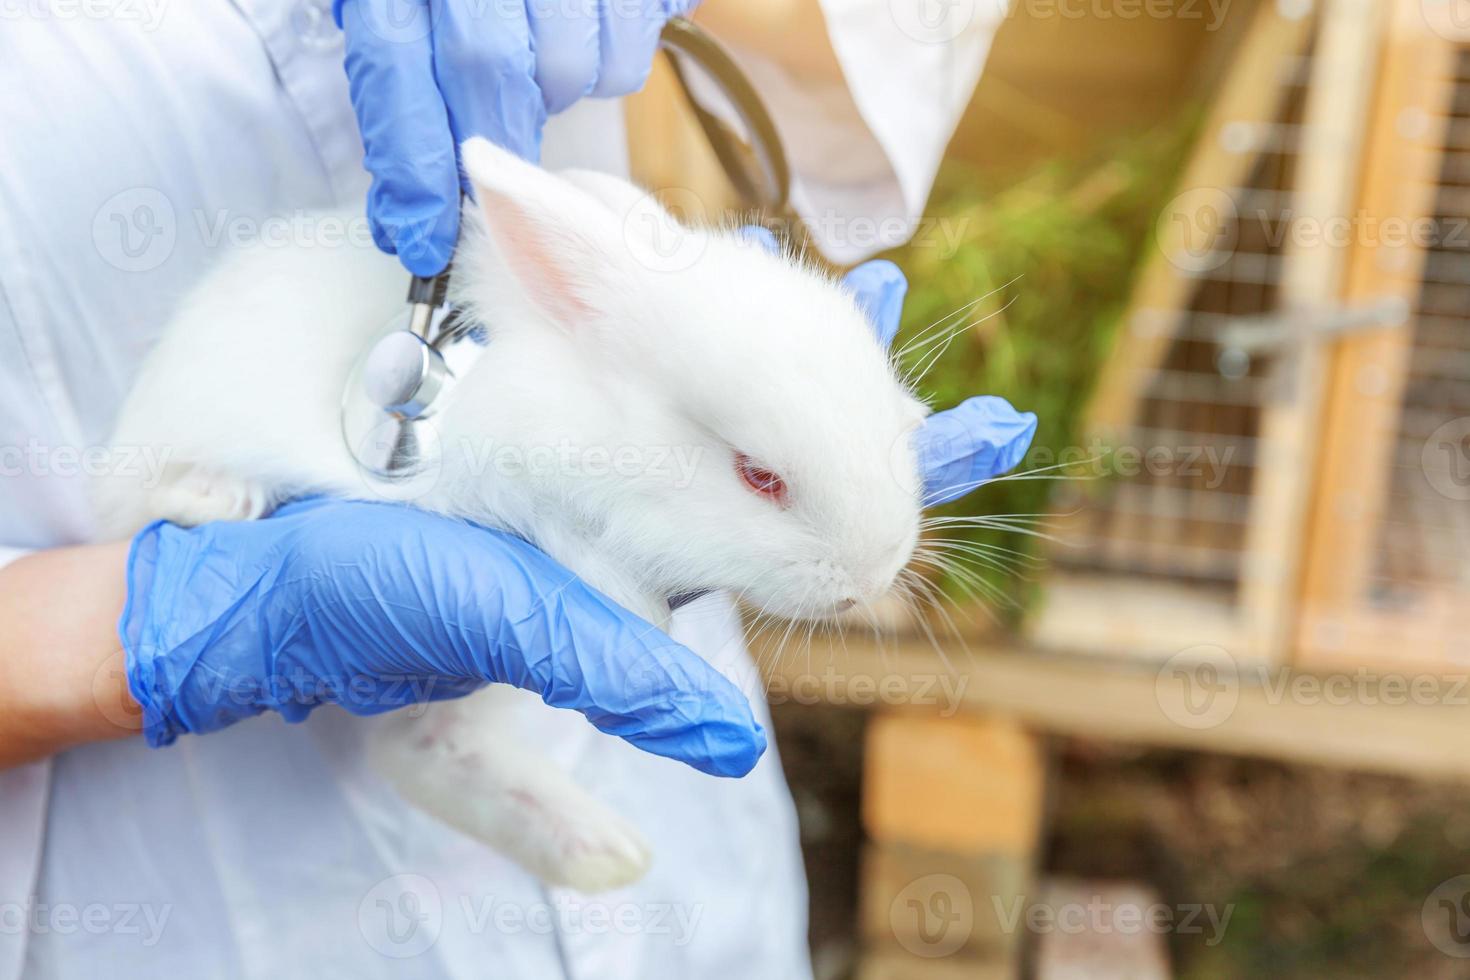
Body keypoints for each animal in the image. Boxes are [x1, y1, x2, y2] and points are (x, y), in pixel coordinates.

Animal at [100, 134, 929, 893]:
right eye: (760, 476)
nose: (869, 579)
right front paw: (642, 620)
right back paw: (219, 497)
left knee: (421, 751)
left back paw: (602, 855)